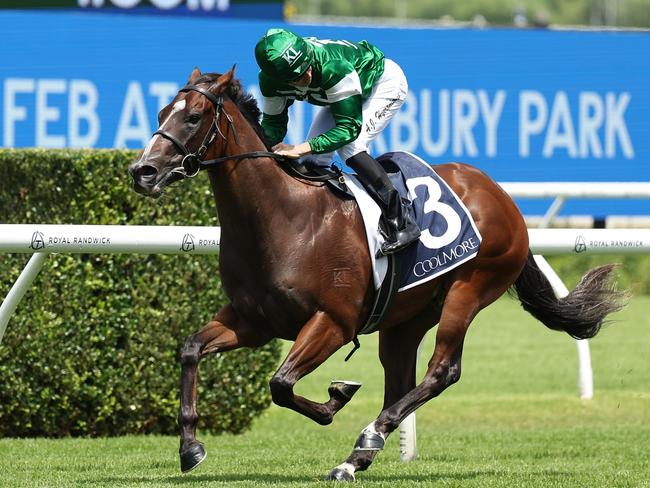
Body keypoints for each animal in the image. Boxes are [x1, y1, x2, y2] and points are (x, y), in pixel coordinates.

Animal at [128, 67, 624, 480]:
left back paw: (366, 439)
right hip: (407, 315)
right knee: (400, 379)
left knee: (441, 370)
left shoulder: (333, 321)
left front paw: (336, 398)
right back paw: (359, 455)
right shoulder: (253, 320)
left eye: (193, 117)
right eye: (161, 113)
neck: (285, 217)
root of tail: (502, 197)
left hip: (470, 288)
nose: (141, 171)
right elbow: (191, 350)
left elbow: (281, 384)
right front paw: (190, 447)